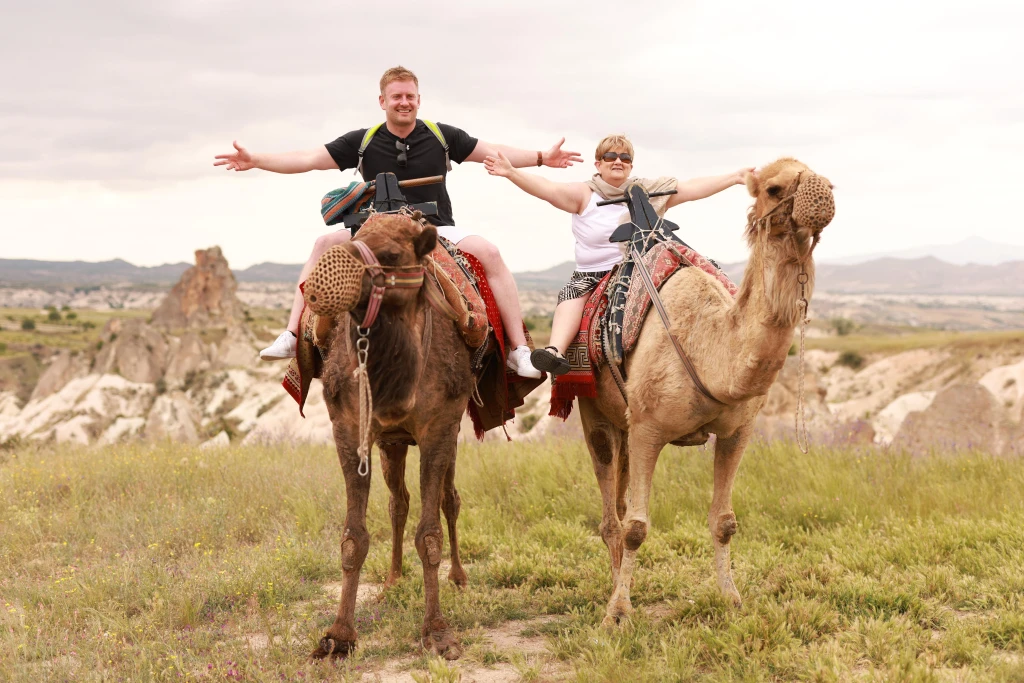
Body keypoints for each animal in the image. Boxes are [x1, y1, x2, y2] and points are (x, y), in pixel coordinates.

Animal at [308, 213, 472, 660]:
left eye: (392, 255)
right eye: (355, 237)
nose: (322, 278)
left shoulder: (440, 428)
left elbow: (429, 535)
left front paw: (438, 633)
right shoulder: (348, 427)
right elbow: (353, 538)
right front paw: (338, 636)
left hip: (452, 434)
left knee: (450, 499)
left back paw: (459, 576)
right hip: (392, 444)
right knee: (399, 502)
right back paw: (394, 579)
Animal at [578, 158, 835, 625]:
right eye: (773, 188)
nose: (821, 193)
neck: (710, 348)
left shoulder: (738, 431)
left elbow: (725, 521)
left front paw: (732, 599)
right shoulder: (648, 428)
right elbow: (638, 528)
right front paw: (617, 614)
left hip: (622, 417)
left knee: (618, 506)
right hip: (592, 409)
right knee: (611, 514)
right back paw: (613, 593)